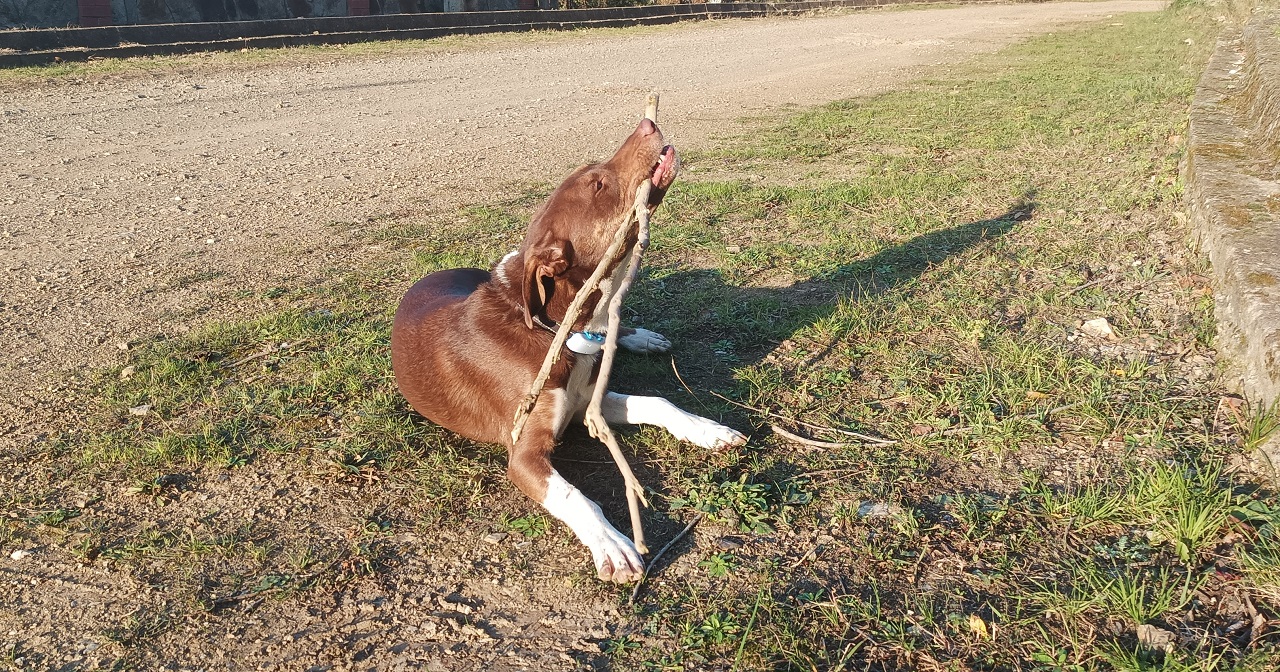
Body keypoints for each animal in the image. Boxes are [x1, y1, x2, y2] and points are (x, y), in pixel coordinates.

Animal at [394, 117, 747, 578]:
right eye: (598, 184)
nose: (647, 123)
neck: (555, 330)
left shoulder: (585, 402)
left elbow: (659, 402)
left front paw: (708, 429)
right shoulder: (525, 453)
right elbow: (576, 497)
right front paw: (612, 545)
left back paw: (641, 337)